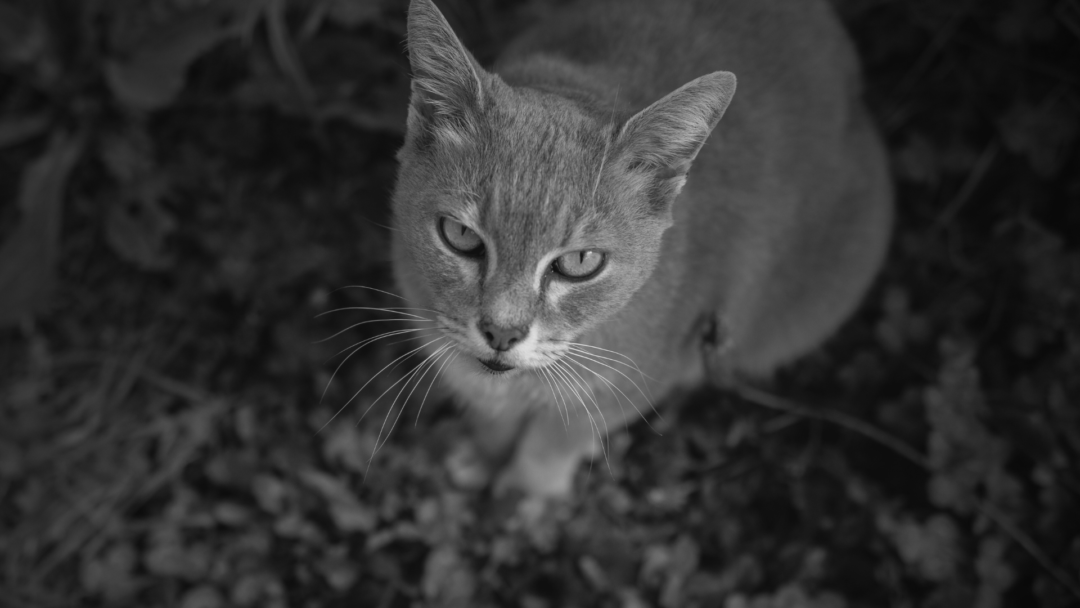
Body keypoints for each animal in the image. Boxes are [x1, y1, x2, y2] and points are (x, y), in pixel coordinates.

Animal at [388, 0, 894, 496]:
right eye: (461, 236)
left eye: (579, 262)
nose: (502, 333)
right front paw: (486, 454)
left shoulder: (634, 382)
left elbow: (555, 438)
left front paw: (526, 493)